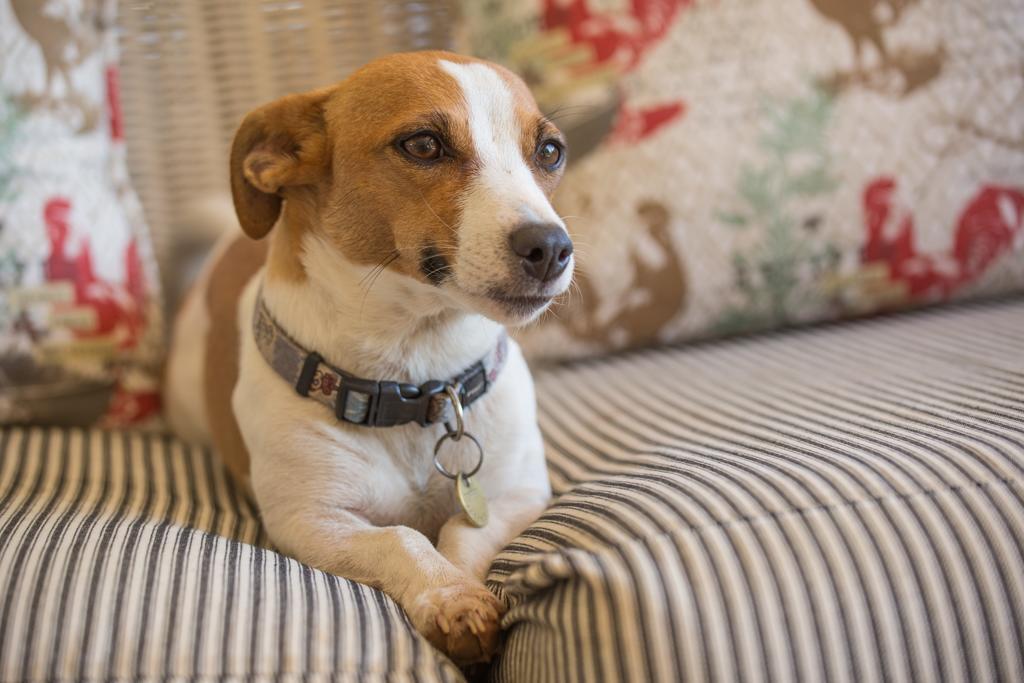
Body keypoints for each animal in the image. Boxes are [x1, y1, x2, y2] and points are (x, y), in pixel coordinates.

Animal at [163, 49, 573, 667]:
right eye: (423, 144)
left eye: (549, 151)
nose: (551, 247)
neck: (419, 382)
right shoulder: (313, 520)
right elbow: (401, 539)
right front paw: (449, 596)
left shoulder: (518, 494)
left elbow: (463, 533)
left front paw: (460, 587)